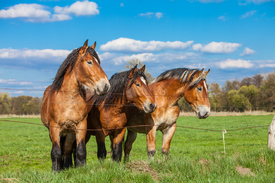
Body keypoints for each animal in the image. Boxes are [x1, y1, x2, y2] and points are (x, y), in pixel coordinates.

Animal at [41, 40, 110, 172]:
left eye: (99, 62)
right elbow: (56, 152)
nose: (105, 86)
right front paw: (55, 171)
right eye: (89, 62)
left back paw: (67, 167)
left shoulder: (80, 127)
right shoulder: (54, 128)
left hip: (69, 133)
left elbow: (81, 151)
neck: (68, 100)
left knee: (67, 150)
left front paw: (81, 169)